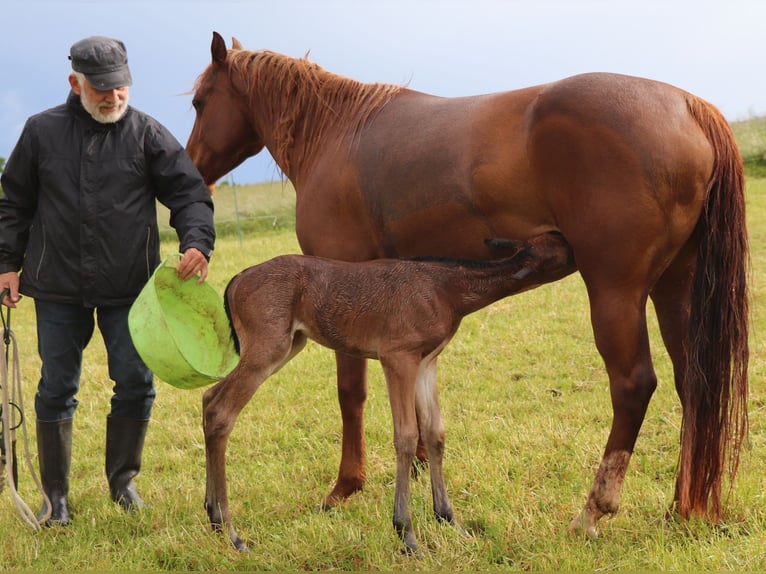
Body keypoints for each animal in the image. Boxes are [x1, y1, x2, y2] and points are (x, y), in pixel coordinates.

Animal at [204, 231, 576, 553]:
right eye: (563, 246)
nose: (583, 248)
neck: (447, 291)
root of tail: (237, 279)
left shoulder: (427, 361)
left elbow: (435, 433)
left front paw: (450, 521)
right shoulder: (397, 356)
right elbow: (407, 436)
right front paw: (406, 535)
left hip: (290, 343)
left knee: (209, 398)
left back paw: (213, 516)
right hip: (268, 345)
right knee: (222, 410)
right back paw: (231, 532)